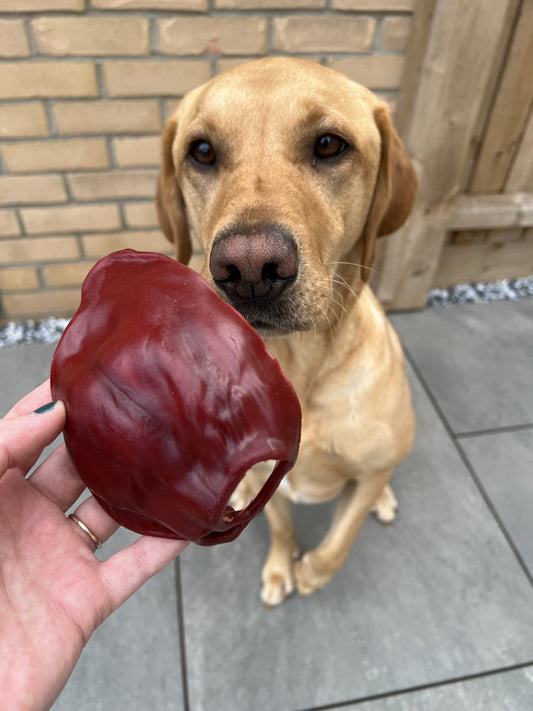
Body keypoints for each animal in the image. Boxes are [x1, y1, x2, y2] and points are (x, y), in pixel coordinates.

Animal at [156, 58, 418, 608]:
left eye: (329, 145)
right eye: (202, 151)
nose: (249, 269)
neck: (298, 369)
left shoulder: (363, 475)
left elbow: (340, 541)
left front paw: (313, 572)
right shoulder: (266, 479)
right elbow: (280, 527)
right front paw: (281, 569)